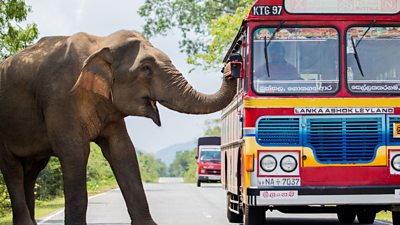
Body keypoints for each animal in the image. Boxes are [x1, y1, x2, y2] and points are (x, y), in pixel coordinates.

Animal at [0, 30, 238, 225]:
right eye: (146, 68)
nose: (229, 66)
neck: (100, 44)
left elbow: (122, 150)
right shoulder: (60, 100)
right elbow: (75, 152)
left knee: (32, 170)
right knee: (13, 170)